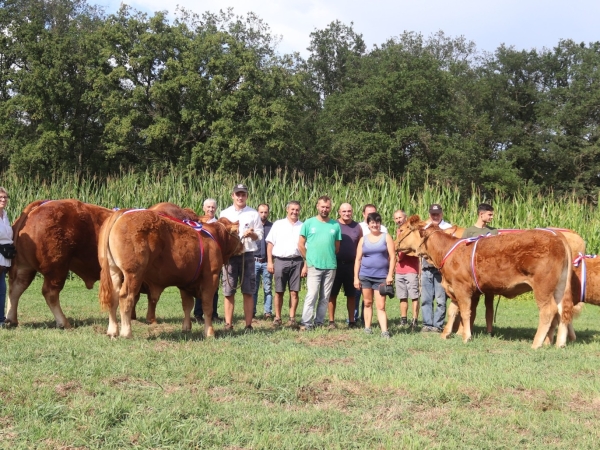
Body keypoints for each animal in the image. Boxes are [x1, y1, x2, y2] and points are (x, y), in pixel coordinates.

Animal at [97, 210, 243, 338]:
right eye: (237, 232)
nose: (243, 246)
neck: (214, 237)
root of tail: (122, 213)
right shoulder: (211, 277)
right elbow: (207, 306)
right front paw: (210, 332)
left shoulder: (186, 282)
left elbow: (187, 305)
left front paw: (186, 328)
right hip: (133, 273)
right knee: (126, 297)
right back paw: (126, 332)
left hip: (114, 271)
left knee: (113, 297)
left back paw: (112, 330)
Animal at [396, 216, 576, 350]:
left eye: (402, 229)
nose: (396, 245)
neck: (446, 251)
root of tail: (557, 236)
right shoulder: (453, 288)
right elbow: (453, 312)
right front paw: (445, 334)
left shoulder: (462, 288)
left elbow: (465, 312)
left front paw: (466, 336)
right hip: (559, 287)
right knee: (562, 311)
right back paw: (558, 343)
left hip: (543, 287)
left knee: (548, 311)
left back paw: (537, 343)